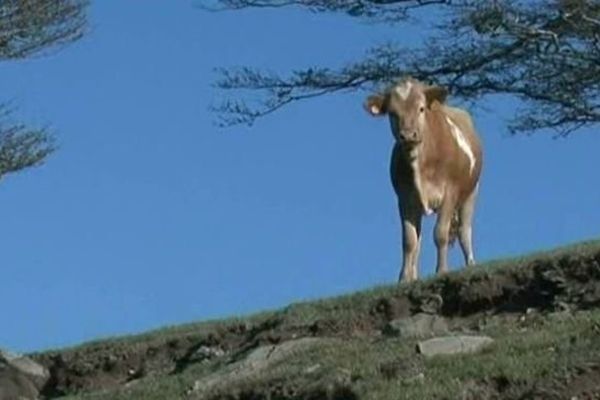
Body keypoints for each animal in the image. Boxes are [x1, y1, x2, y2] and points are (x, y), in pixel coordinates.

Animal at [366, 78, 482, 282]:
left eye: (421, 108)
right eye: (392, 113)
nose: (408, 135)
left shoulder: (450, 192)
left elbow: (441, 233)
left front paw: (442, 270)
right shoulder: (404, 198)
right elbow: (409, 240)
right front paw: (404, 279)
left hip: (471, 192)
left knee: (464, 231)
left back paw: (470, 264)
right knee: (418, 243)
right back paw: (414, 276)